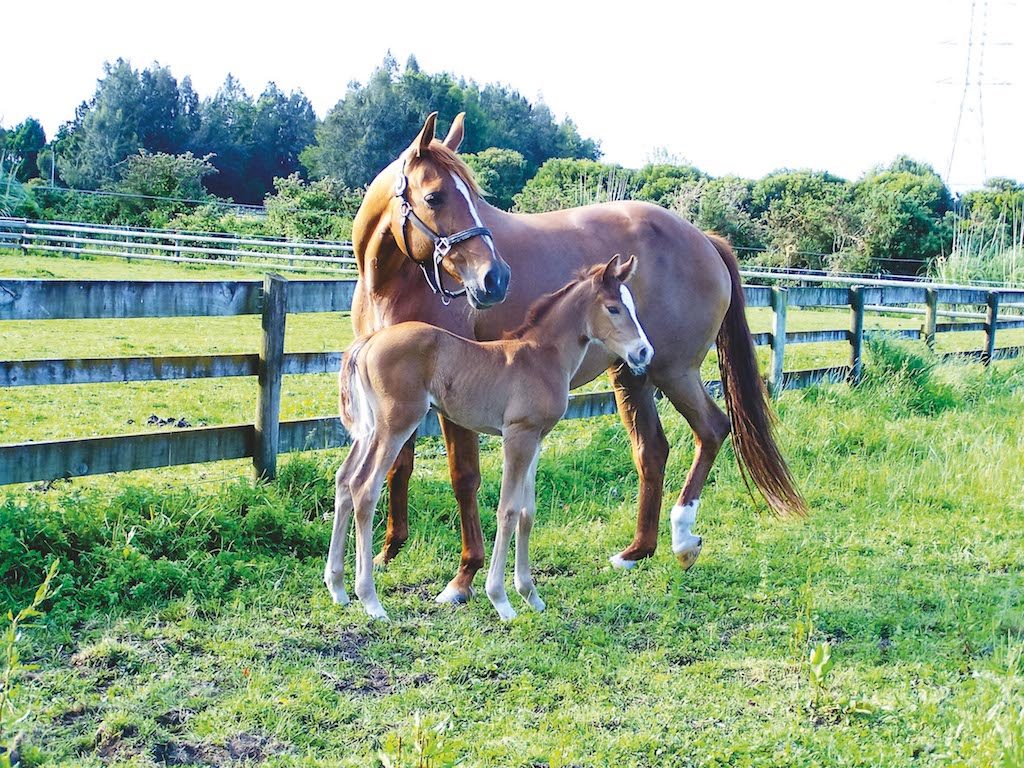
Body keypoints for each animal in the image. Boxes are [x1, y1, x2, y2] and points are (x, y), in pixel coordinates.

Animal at [323, 256, 651, 622]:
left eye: (632, 306)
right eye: (613, 308)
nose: (643, 352)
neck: (541, 356)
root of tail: (367, 342)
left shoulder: (537, 438)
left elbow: (527, 512)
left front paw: (531, 595)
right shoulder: (517, 436)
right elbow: (508, 510)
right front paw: (501, 599)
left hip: (368, 430)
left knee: (345, 480)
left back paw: (338, 588)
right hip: (394, 426)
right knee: (364, 488)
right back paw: (370, 600)